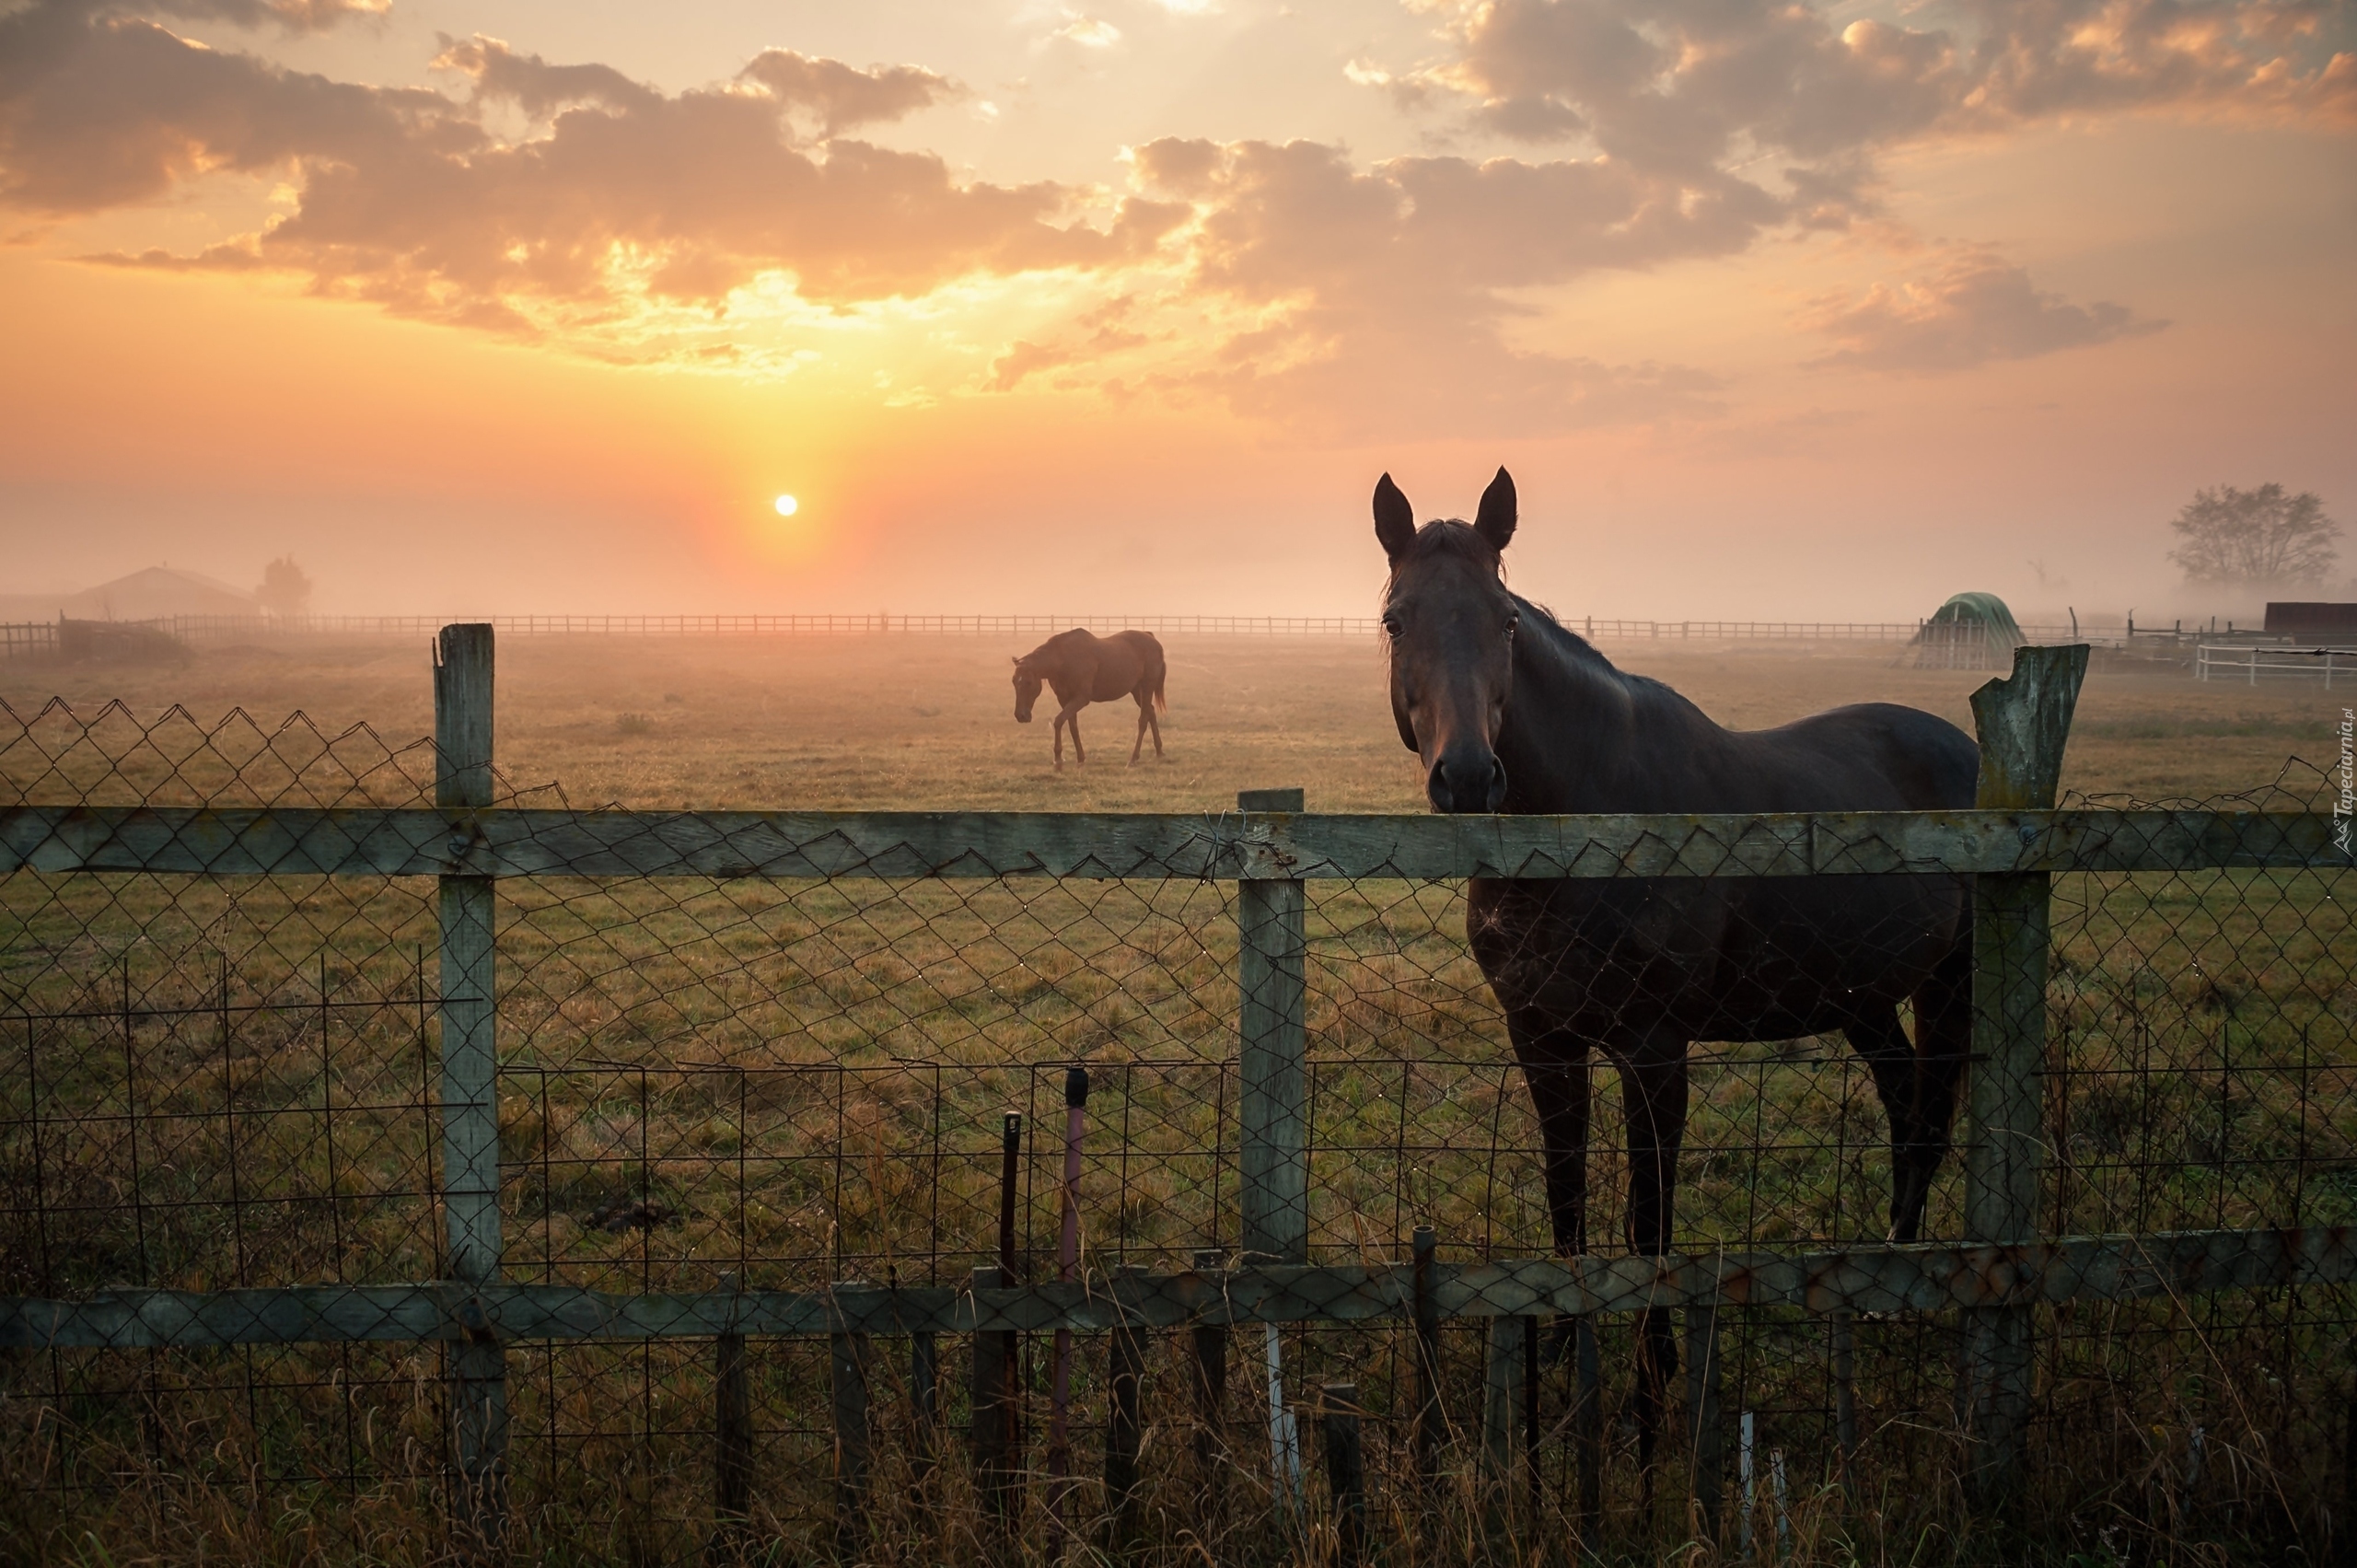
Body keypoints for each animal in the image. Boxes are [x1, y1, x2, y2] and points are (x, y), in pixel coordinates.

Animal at [1008, 627, 1164, 768]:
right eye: (1014, 681)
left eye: (1028, 682)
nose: (1021, 715)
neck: (1063, 659)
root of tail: (1152, 639)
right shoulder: (1064, 700)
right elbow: (1073, 727)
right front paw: (1080, 758)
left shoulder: (1081, 699)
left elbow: (1058, 721)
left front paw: (1058, 759)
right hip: (1137, 691)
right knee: (1150, 712)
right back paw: (1159, 751)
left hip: (1147, 687)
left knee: (1143, 720)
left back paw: (1133, 759)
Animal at [1376, 471, 1980, 1461]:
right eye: (1396, 618)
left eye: (1507, 619)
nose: (1466, 777)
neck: (1586, 822)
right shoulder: (1542, 1038)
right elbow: (1568, 1192)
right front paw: (1565, 1356)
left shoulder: (1654, 1051)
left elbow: (1648, 1218)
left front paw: (1648, 1395)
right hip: (1859, 995)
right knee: (1901, 1098)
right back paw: (1885, 1269)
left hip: (1948, 980)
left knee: (1929, 1111)